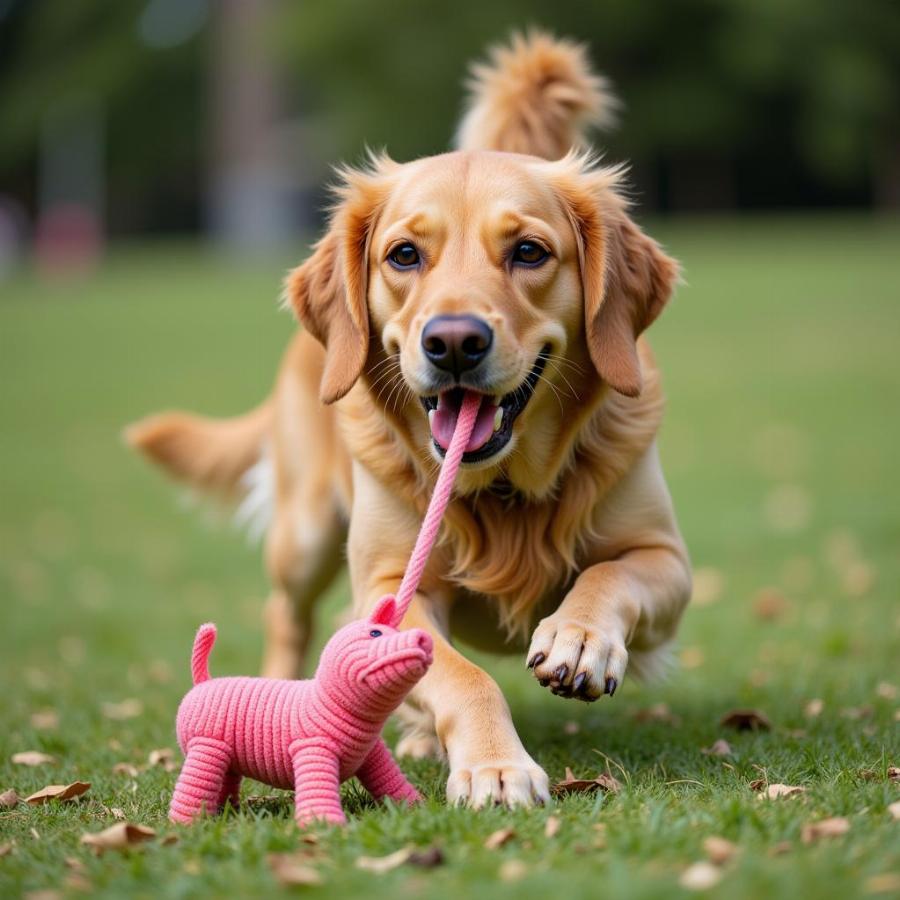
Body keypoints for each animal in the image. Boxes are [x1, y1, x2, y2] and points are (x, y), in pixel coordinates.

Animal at [128, 33, 688, 808]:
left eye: (529, 251)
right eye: (404, 254)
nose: (453, 342)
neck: (502, 488)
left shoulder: (667, 560)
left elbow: (611, 576)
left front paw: (578, 638)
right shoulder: (391, 586)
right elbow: (460, 674)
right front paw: (495, 766)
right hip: (304, 537)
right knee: (286, 616)